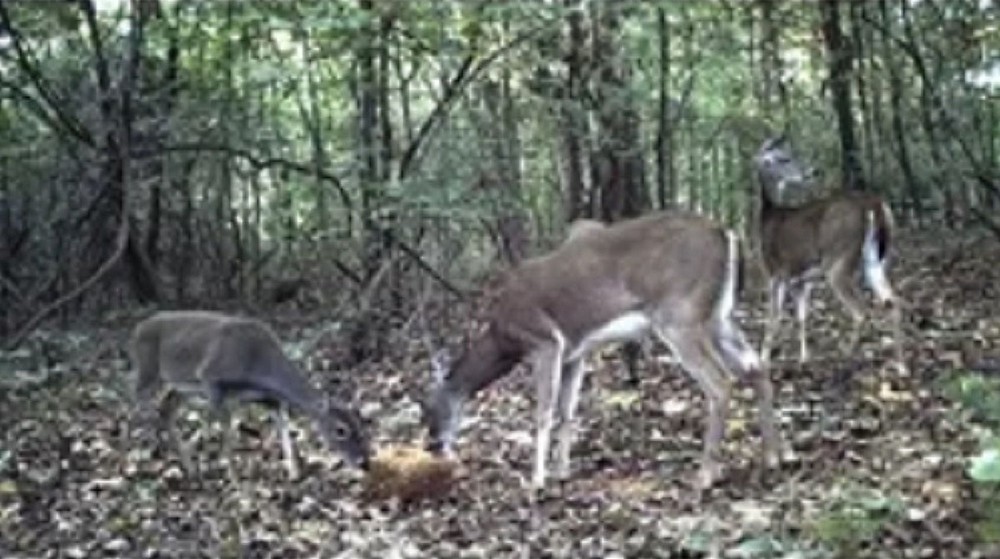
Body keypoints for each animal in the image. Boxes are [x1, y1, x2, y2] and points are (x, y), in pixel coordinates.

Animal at [127, 310, 371, 481]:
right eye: (341, 430)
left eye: (361, 426)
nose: (364, 463)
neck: (256, 363)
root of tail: (138, 328)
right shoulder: (210, 378)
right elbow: (223, 434)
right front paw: (233, 478)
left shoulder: (264, 397)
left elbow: (283, 423)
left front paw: (294, 472)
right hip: (148, 370)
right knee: (136, 402)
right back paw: (142, 456)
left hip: (180, 387)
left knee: (165, 408)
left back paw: (188, 467)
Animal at [422, 212, 781, 490]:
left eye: (427, 408)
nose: (432, 446)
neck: (504, 339)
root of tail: (726, 234)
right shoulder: (574, 353)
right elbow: (566, 410)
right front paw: (561, 471)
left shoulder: (544, 341)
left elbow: (543, 413)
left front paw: (536, 480)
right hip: (719, 316)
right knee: (757, 367)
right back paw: (774, 457)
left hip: (679, 315)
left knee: (720, 382)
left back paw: (706, 475)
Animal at [754, 137, 904, 370]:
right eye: (784, 158)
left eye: (789, 154)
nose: (812, 171)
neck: (767, 216)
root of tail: (873, 205)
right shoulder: (801, 279)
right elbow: (802, 317)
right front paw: (804, 358)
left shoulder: (774, 271)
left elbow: (773, 318)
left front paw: (763, 360)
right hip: (877, 258)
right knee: (892, 301)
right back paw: (901, 365)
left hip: (839, 258)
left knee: (860, 311)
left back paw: (846, 358)